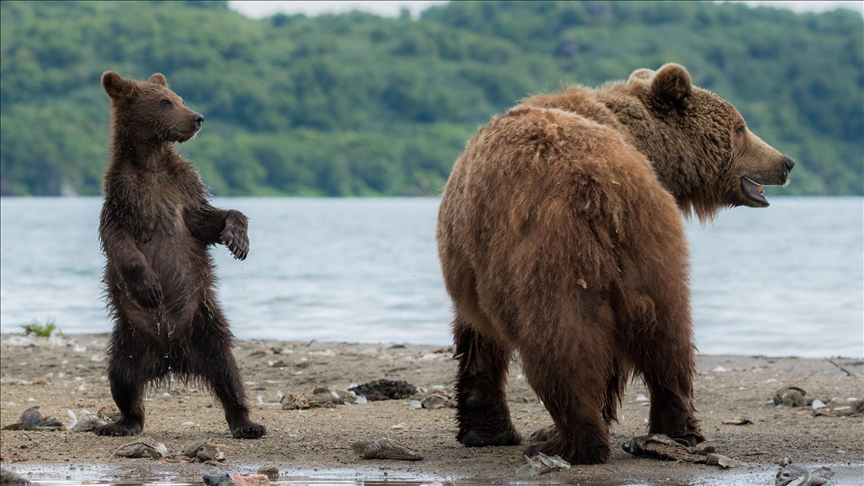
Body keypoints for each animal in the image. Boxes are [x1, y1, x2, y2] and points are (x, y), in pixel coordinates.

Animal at [95, 71, 266, 439]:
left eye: (180, 98)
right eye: (164, 102)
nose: (197, 117)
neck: (150, 162)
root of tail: (171, 355)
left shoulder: (183, 188)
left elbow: (206, 219)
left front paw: (238, 239)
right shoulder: (121, 196)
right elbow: (119, 241)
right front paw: (149, 286)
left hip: (205, 323)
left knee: (227, 370)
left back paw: (246, 422)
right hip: (130, 336)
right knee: (122, 378)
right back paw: (122, 422)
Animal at [436, 63, 793, 464]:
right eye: (740, 127)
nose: (786, 162)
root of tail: (600, 186)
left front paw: (487, 430)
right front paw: (485, 429)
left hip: (554, 258)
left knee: (563, 342)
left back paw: (567, 440)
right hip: (650, 246)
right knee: (669, 339)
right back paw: (674, 431)